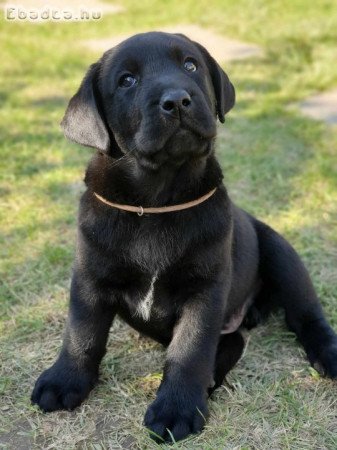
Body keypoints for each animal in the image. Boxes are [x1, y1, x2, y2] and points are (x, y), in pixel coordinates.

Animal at [31, 31, 336, 442]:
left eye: (190, 65)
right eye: (127, 80)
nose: (176, 100)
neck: (156, 201)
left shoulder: (204, 289)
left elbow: (190, 350)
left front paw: (176, 408)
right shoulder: (89, 278)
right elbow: (82, 333)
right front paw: (64, 380)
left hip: (281, 252)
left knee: (306, 316)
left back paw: (328, 352)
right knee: (234, 341)